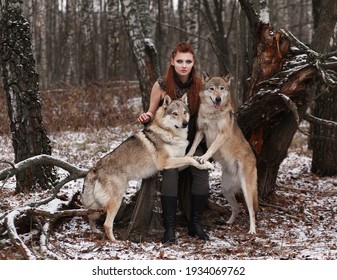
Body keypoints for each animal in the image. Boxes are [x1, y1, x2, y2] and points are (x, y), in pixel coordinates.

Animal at [82, 94, 213, 241]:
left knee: (91, 217)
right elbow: (189, 158)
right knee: (106, 224)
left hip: (100, 204)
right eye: (175, 114)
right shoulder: (165, 163)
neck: (169, 133)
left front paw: (205, 163)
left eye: (185, 112)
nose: (185, 123)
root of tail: (94, 168)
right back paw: (116, 241)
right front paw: (204, 163)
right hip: (116, 200)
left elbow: (192, 157)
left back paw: (95, 232)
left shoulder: (177, 161)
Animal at [186, 72, 258, 234]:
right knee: (236, 208)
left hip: (246, 190)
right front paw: (188, 155)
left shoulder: (222, 134)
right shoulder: (201, 131)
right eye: (212, 89)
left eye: (222, 88)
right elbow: (193, 145)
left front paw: (203, 158)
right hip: (226, 190)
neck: (212, 113)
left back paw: (252, 231)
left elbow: (211, 147)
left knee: (251, 211)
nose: (218, 99)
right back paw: (229, 223)